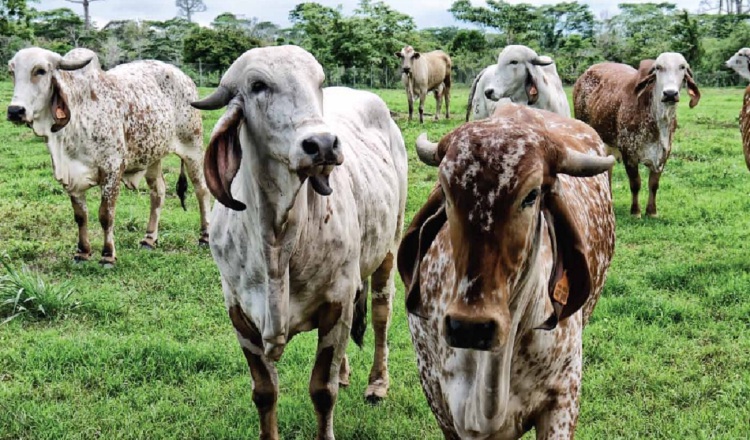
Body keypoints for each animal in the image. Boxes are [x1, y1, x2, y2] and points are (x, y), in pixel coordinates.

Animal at [5, 46, 212, 266]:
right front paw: (82, 252)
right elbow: (81, 215)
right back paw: (149, 239)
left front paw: (107, 255)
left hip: (192, 147)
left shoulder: (112, 169)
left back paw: (204, 236)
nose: (15, 111)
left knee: (201, 190)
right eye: (11, 72)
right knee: (158, 192)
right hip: (153, 155)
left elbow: (106, 214)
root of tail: (185, 77)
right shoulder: (71, 176)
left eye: (40, 71)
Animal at [576, 52, 704, 217]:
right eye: (658, 67)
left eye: (682, 67)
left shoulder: (664, 153)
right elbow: (635, 183)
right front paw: (635, 211)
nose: (670, 93)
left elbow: (653, 184)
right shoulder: (629, 153)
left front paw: (651, 211)